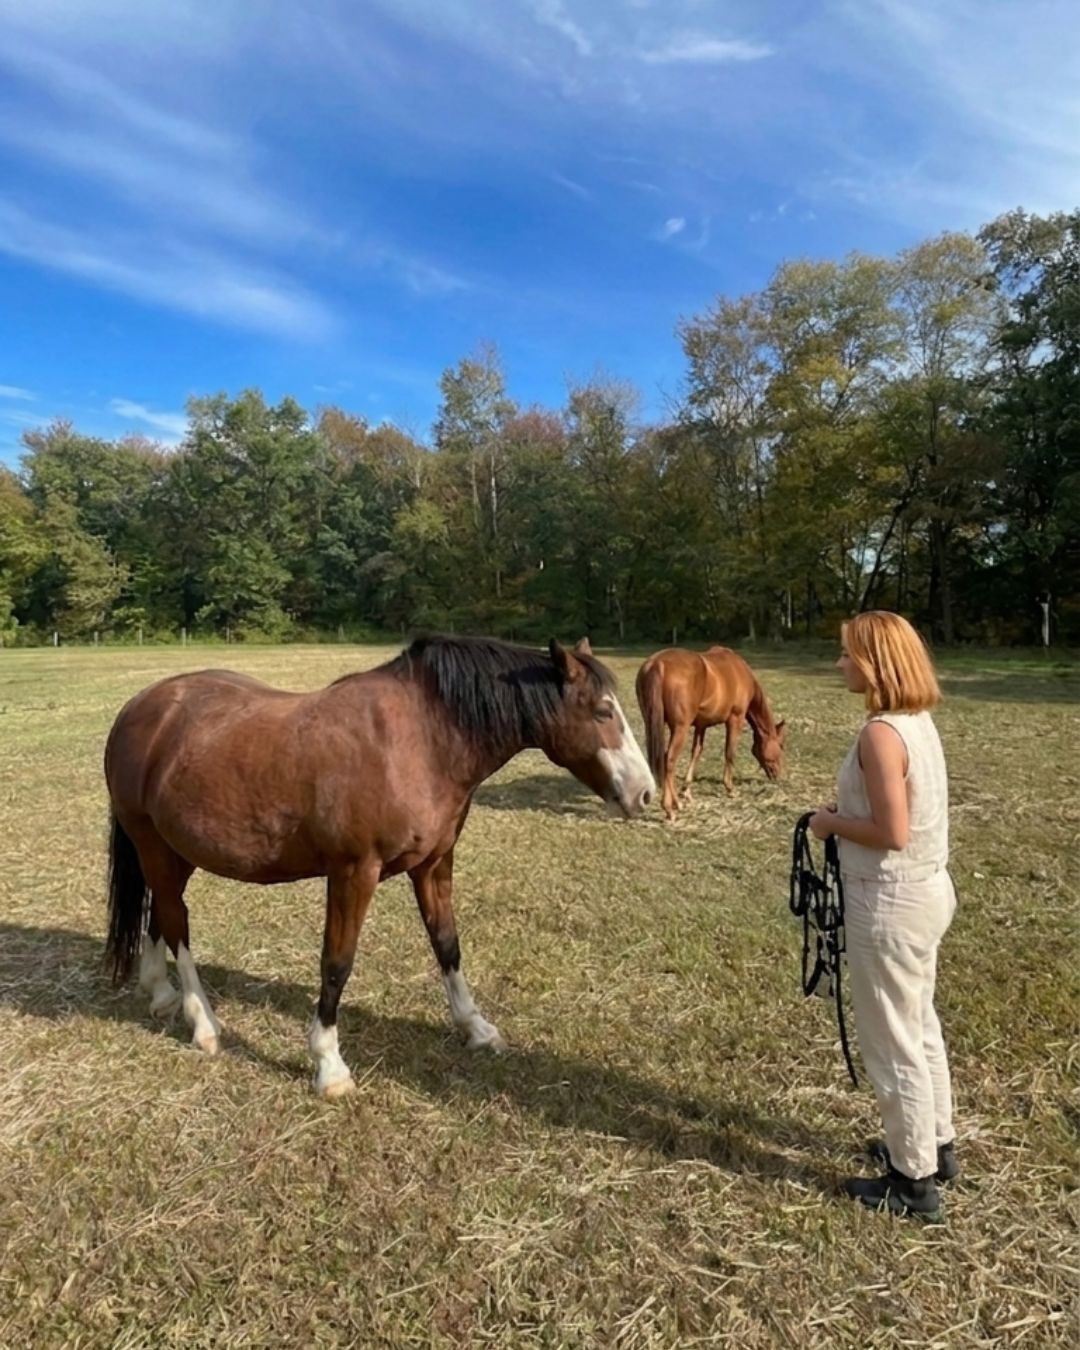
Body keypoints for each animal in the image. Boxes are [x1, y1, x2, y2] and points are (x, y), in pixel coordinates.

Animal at [103, 635, 655, 1097]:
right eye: (603, 711)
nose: (644, 793)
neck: (420, 741)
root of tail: (141, 708)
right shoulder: (353, 872)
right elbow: (337, 963)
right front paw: (328, 1065)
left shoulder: (434, 864)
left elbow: (447, 944)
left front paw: (475, 1028)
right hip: (154, 845)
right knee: (177, 922)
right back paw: (203, 1024)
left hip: (175, 851)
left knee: (161, 914)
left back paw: (161, 994)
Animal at [635, 646, 785, 821]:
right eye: (781, 746)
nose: (778, 775)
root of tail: (657, 664)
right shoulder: (735, 719)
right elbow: (730, 753)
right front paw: (730, 789)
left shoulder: (701, 725)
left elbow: (696, 752)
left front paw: (686, 791)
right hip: (680, 728)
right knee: (669, 760)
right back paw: (671, 808)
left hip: (652, 724)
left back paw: (676, 802)